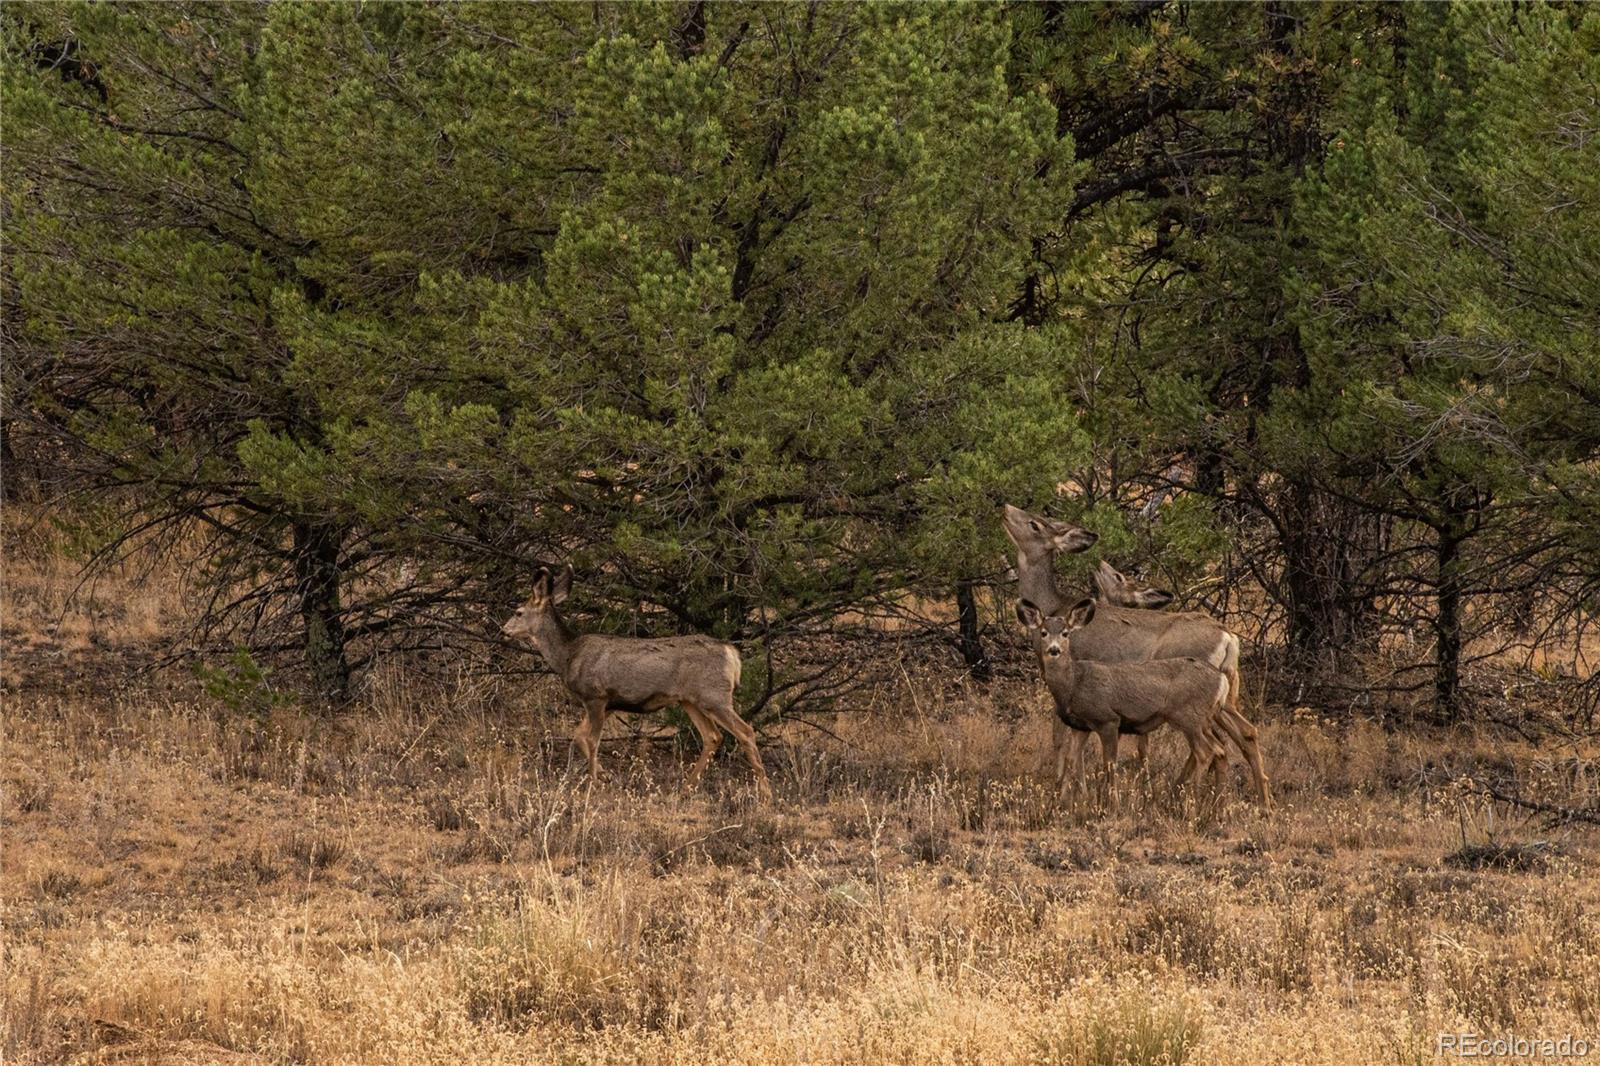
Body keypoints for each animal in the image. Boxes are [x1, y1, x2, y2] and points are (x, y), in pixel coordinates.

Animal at [502, 563, 771, 797]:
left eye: (518, 612)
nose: (504, 630)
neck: (568, 656)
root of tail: (732, 653)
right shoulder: (609, 703)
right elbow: (578, 737)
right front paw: (605, 776)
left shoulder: (596, 695)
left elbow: (592, 740)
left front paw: (593, 782)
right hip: (690, 700)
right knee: (713, 736)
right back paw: (686, 787)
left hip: (714, 696)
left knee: (745, 731)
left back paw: (765, 793)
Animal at [1017, 598, 1228, 797]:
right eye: (1043, 632)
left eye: (1065, 633)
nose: (1054, 650)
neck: (1073, 684)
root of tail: (1222, 680)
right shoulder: (1081, 726)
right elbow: (1074, 758)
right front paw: (1076, 800)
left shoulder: (1108, 719)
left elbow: (1110, 764)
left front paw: (1111, 803)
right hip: (1203, 720)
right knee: (1221, 749)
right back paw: (1215, 800)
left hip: (1189, 717)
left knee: (1206, 751)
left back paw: (1192, 799)